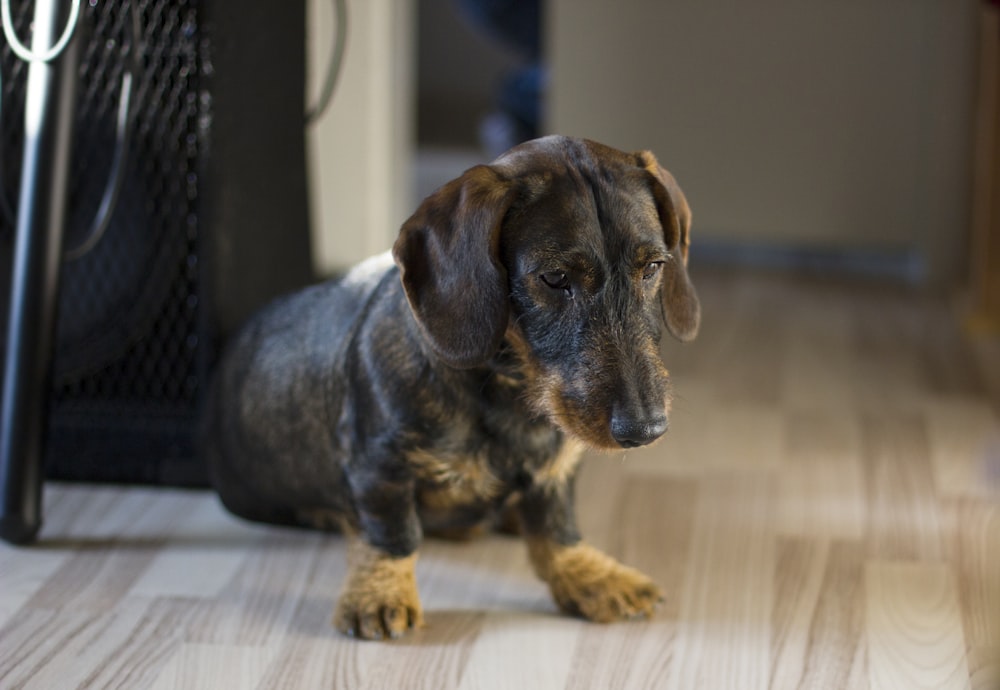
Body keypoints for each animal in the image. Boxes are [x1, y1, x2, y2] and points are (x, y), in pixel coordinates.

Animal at [205, 134, 696, 640]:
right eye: (555, 278)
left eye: (652, 266)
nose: (644, 430)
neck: (510, 393)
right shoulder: (377, 465)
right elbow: (391, 534)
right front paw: (379, 594)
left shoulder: (554, 470)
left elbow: (557, 529)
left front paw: (590, 576)